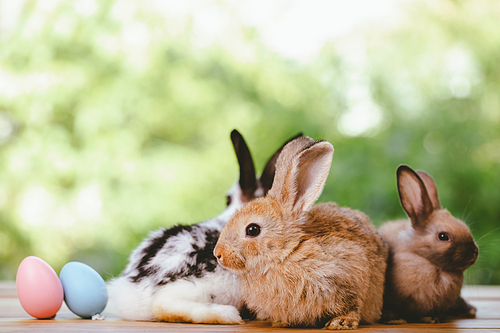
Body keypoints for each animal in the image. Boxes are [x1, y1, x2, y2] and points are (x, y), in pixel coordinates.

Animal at [213, 136, 388, 328]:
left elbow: (352, 306)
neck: (287, 253)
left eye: (252, 230)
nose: (218, 254)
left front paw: (341, 323)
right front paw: (279, 322)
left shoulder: (350, 277)